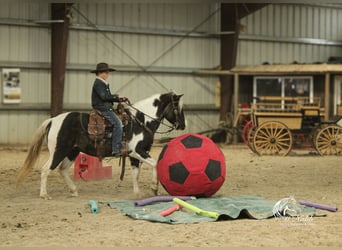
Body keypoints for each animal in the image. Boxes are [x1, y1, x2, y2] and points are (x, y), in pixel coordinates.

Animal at [16, 92, 186, 199]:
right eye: (177, 108)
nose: (183, 125)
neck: (140, 121)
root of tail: (53, 120)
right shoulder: (137, 151)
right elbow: (155, 164)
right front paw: (154, 187)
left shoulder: (134, 155)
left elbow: (135, 174)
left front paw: (137, 194)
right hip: (58, 151)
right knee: (46, 170)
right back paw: (44, 195)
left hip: (72, 152)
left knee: (62, 170)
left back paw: (74, 190)